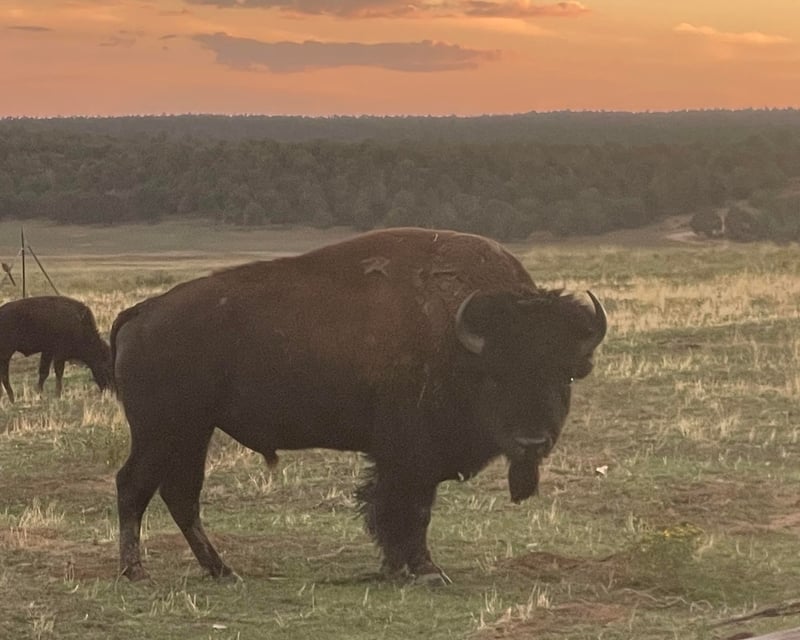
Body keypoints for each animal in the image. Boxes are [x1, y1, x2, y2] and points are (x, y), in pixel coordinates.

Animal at [111, 227, 606, 584]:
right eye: (496, 374)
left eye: (564, 373)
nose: (532, 441)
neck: (457, 340)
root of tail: (142, 312)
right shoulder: (411, 456)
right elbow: (409, 509)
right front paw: (425, 570)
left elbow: (397, 508)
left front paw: (397, 567)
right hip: (162, 431)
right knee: (134, 486)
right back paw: (136, 571)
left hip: (193, 433)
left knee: (180, 495)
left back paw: (221, 570)